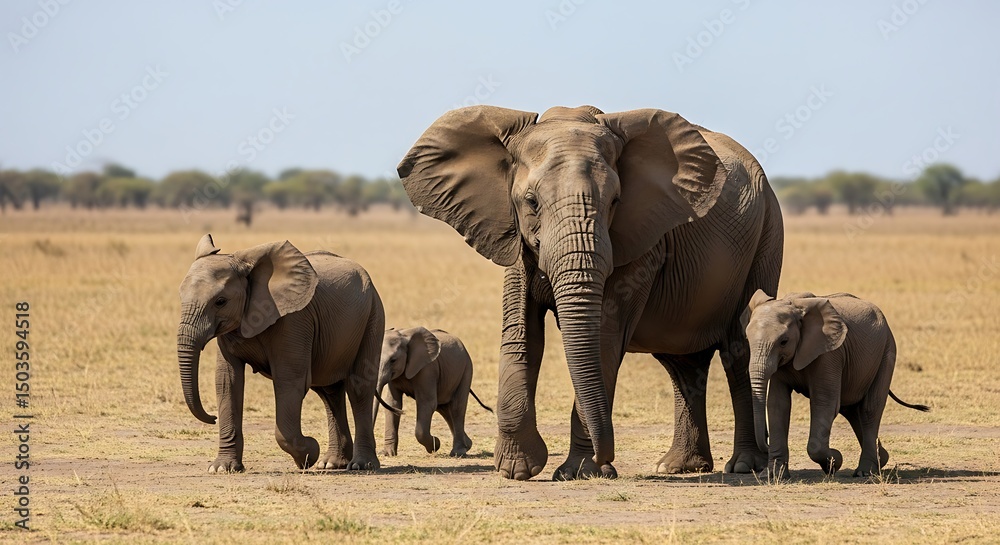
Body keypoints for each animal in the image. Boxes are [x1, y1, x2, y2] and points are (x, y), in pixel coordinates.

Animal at [177, 234, 390, 472]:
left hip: (373, 315)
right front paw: (223, 468)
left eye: (220, 302)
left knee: (358, 387)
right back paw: (332, 463)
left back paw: (361, 465)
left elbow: (289, 380)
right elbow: (228, 382)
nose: (212, 418)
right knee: (329, 392)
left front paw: (309, 454)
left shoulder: (294, 320)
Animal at [373, 327, 494, 458]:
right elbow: (393, 403)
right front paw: (388, 454)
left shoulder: (428, 369)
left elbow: (427, 403)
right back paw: (468, 445)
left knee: (457, 408)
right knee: (444, 409)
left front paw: (436, 445)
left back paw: (458, 452)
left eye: (393, 360)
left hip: (466, 369)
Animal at [397, 105, 784, 480]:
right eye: (531, 202)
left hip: (767, 235)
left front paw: (578, 472)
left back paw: (744, 465)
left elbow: (603, 337)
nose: (607, 458)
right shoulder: (513, 233)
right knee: (682, 365)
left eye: (615, 202)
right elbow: (522, 334)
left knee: (736, 349)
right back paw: (677, 466)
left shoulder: (640, 241)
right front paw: (517, 469)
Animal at [742, 290, 930, 478]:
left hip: (887, 351)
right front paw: (771, 475)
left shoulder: (830, 354)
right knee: (852, 411)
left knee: (870, 409)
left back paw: (865, 471)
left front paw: (834, 462)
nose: (766, 443)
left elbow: (824, 402)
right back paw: (881, 459)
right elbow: (777, 405)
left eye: (783, 341)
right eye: (747, 339)